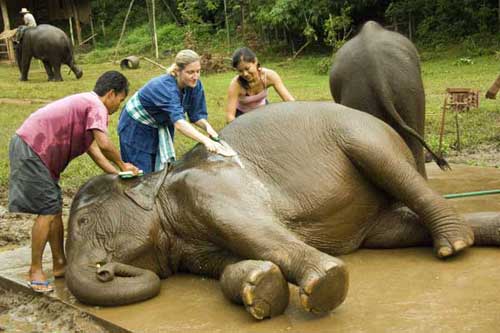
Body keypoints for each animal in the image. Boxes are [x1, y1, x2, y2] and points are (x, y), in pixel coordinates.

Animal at [65, 102, 500, 320]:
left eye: (83, 221)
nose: (105, 271)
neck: (159, 180)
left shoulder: (211, 189)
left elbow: (258, 232)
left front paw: (324, 286)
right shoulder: (190, 244)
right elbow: (226, 264)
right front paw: (260, 288)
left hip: (365, 136)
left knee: (393, 171)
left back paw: (453, 245)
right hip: (376, 221)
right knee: (397, 229)